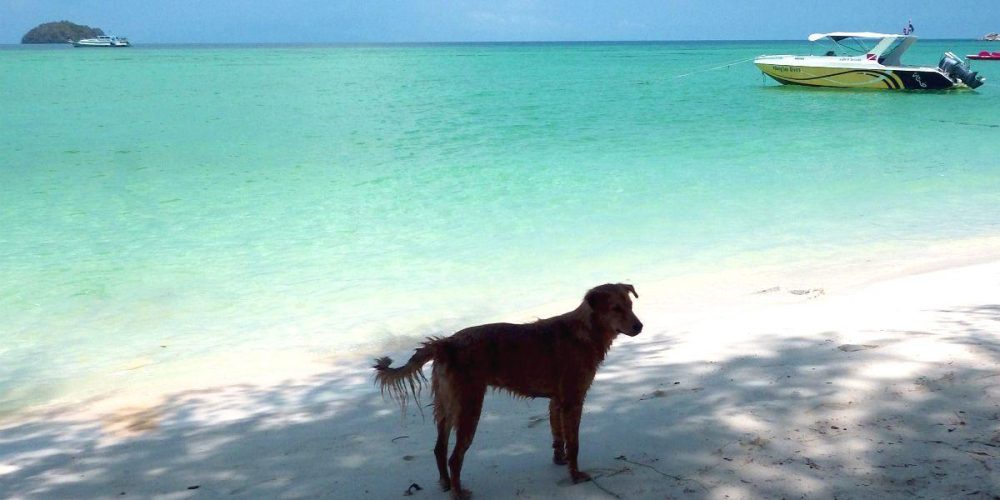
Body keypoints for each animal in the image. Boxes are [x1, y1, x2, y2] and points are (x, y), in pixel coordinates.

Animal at [374, 284, 640, 498]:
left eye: (630, 305)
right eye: (616, 308)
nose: (640, 326)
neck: (586, 330)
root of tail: (446, 343)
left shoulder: (556, 401)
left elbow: (558, 436)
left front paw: (559, 460)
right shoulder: (572, 401)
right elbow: (574, 443)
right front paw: (574, 474)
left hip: (446, 406)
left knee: (439, 448)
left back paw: (446, 484)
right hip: (469, 408)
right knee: (454, 457)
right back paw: (459, 493)